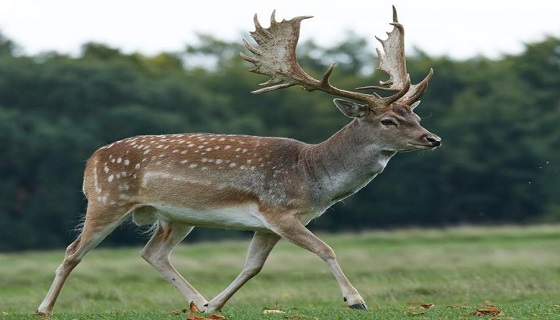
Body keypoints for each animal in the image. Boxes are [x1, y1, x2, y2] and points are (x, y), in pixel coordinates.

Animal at [37, 5, 442, 316]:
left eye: (416, 116)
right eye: (388, 121)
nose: (433, 139)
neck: (312, 175)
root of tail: (92, 159)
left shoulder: (268, 225)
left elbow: (253, 267)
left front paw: (216, 305)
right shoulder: (278, 211)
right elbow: (325, 249)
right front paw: (355, 300)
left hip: (175, 216)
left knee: (152, 253)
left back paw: (199, 302)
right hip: (107, 200)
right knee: (73, 251)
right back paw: (44, 308)